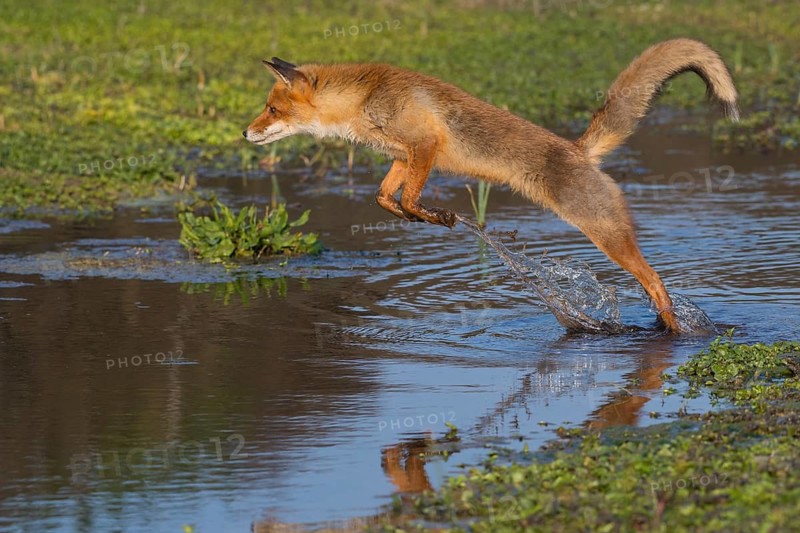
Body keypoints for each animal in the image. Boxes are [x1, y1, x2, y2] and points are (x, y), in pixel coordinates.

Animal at [243, 38, 739, 333]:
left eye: (271, 109)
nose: (245, 134)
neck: (363, 99)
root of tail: (579, 150)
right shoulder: (405, 154)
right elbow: (385, 196)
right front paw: (416, 215)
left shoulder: (425, 144)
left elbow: (410, 196)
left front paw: (433, 216)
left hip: (605, 232)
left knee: (656, 282)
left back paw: (672, 330)